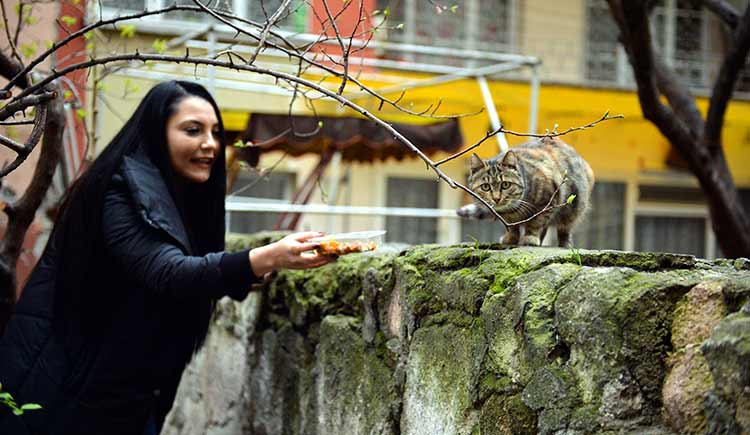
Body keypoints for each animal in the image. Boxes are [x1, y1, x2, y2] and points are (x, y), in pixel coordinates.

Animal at [456, 138, 596, 249]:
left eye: (505, 185)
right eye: (485, 187)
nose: (496, 198)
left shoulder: (547, 200)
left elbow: (535, 223)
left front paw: (530, 238)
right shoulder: (507, 218)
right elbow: (512, 227)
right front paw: (511, 238)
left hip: (574, 207)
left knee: (564, 228)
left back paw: (564, 244)